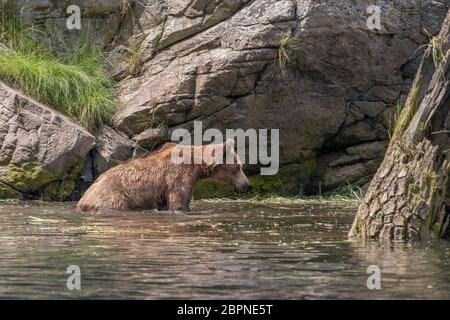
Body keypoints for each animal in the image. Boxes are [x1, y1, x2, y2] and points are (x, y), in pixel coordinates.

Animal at [78, 138, 253, 211]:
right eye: (238, 167)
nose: (247, 185)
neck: (195, 167)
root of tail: (82, 201)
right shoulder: (178, 178)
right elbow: (179, 202)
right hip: (114, 198)